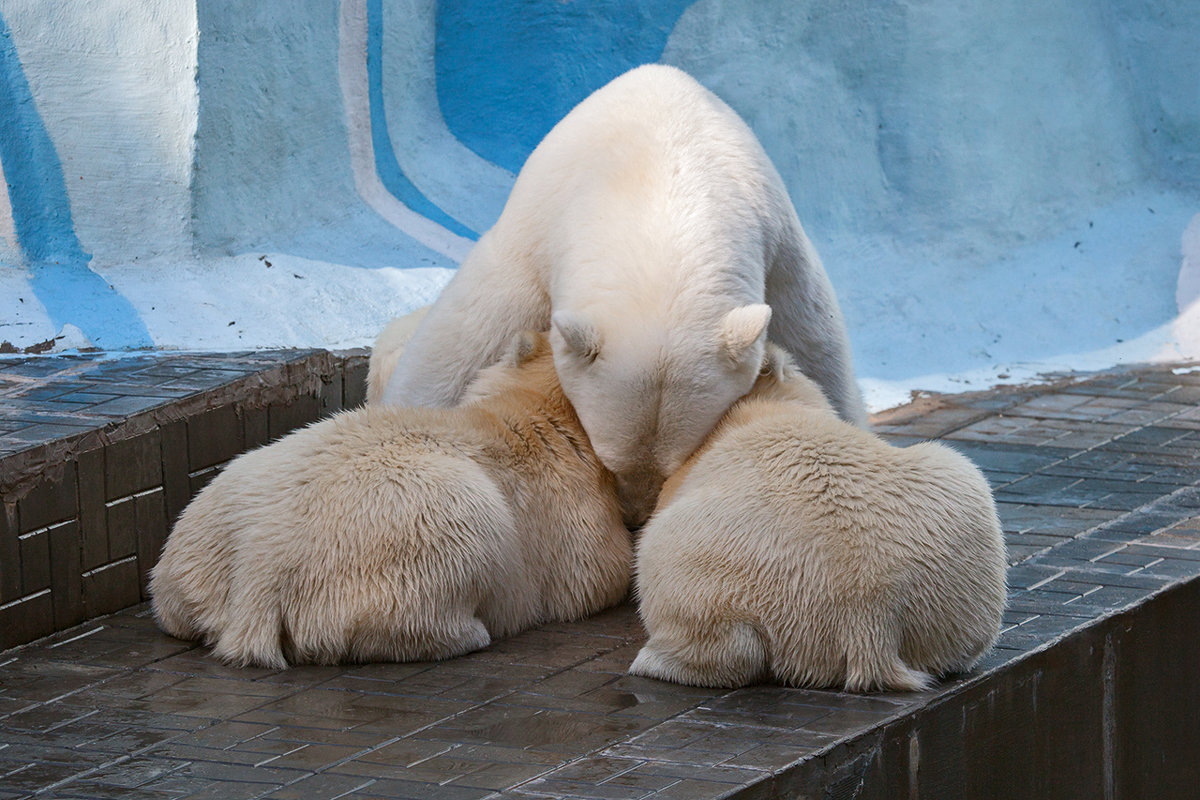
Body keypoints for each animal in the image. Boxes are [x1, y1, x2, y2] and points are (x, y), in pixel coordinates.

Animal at [150, 331, 628, 671]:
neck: (532, 411)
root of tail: (261, 576)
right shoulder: (572, 516)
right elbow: (601, 576)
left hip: (203, 538)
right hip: (424, 529)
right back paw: (468, 632)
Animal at [384, 64, 864, 525]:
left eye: (675, 466)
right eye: (608, 460)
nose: (635, 518)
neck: (658, 198)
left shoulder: (779, 256)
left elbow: (819, 354)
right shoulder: (535, 241)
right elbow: (460, 343)